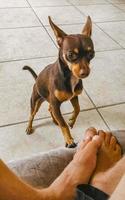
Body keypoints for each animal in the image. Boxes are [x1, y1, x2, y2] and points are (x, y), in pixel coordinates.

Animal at [22, 16, 94, 147]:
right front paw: (69, 140)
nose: (85, 73)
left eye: (91, 54)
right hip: (35, 101)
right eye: (71, 54)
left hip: (48, 101)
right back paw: (29, 127)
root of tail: (36, 79)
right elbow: (63, 125)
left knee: (50, 109)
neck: (69, 76)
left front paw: (71, 120)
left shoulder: (73, 97)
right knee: (32, 114)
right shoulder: (56, 103)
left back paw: (55, 120)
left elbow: (78, 109)